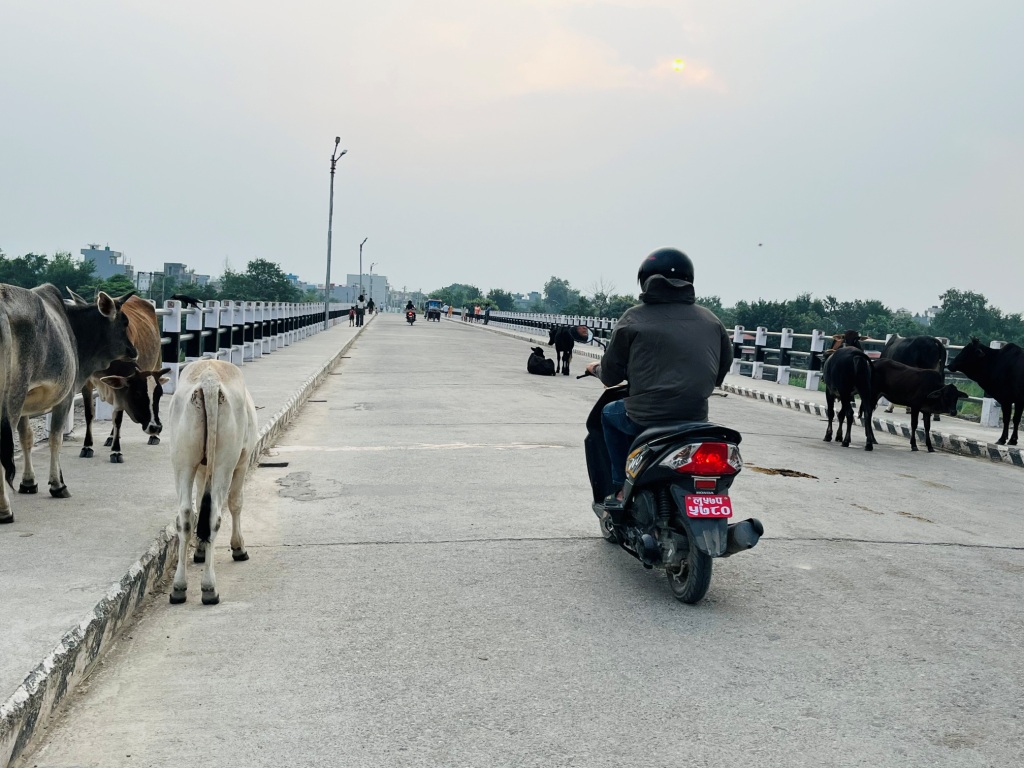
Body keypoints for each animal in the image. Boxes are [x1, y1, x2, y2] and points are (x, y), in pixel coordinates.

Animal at [0, 286, 137, 528]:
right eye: (124, 322)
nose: (134, 351)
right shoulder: (64, 397)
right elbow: (56, 438)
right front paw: (58, 485)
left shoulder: (26, 404)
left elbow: (26, 438)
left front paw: (29, 482)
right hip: (12, 396)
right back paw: (5, 510)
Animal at [166, 360, 256, 606]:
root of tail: (209, 378)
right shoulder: (243, 462)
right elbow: (236, 503)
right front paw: (238, 547)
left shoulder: (201, 469)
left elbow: (198, 507)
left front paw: (199, 550)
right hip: (225, 462)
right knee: (215, 514)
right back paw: (209, 587)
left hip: (182, 460)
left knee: (185, 515)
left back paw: (179, 587)